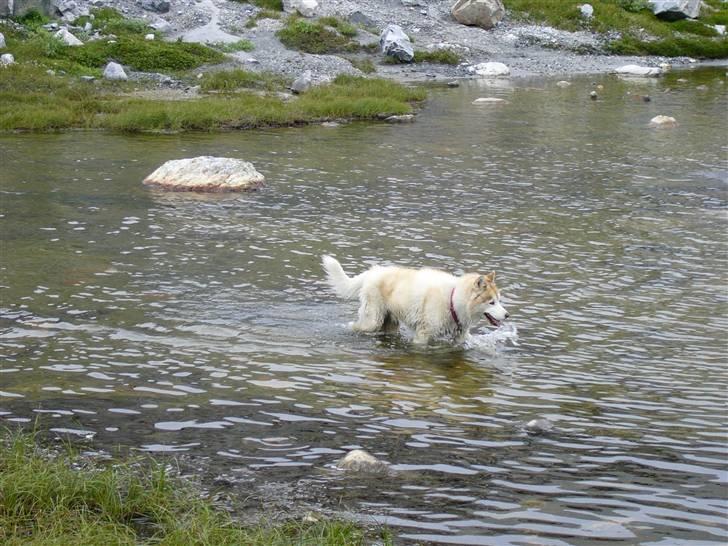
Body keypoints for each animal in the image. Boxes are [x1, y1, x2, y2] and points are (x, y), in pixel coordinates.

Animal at [322, 256, 510, 344]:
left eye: (499, 300)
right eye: (491, 302)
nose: (507, 315)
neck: (453, 300)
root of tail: (373, 271)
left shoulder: (459, 337)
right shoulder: (423, 336)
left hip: (391, 324)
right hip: (372, 321)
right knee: (357, 326)